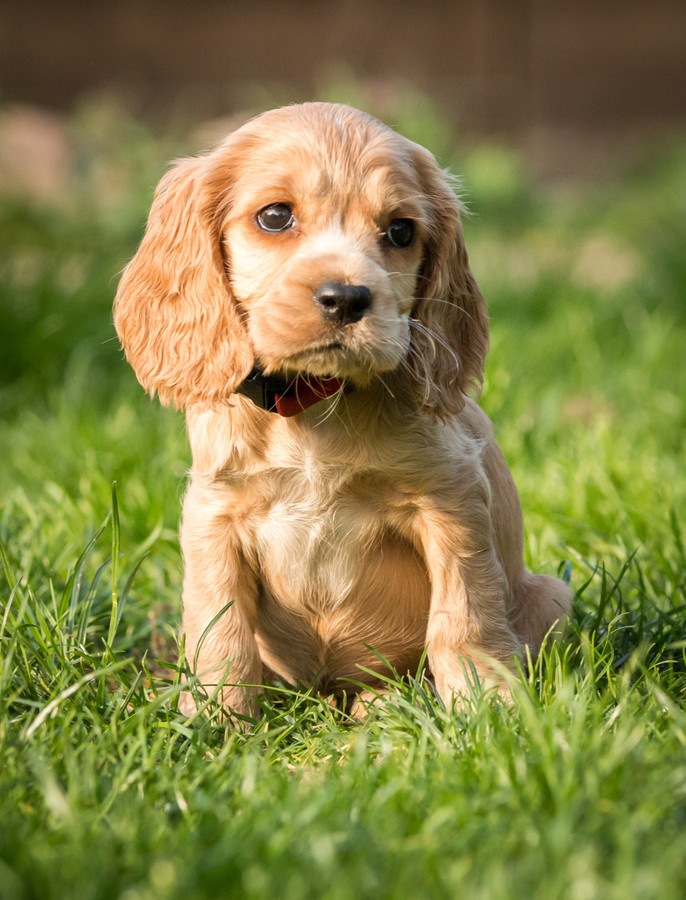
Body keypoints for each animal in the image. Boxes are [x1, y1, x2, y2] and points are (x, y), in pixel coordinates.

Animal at [114, 102, 576, 716]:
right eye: (275, 216)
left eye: (400, 231)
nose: (347, 298)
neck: (314, 405)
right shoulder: (215, 514)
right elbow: (219, 627)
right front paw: (215, 719)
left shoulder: (451, 500)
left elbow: (464, 614)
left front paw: (486, 706)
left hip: (552, 596)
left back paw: (385, 704)